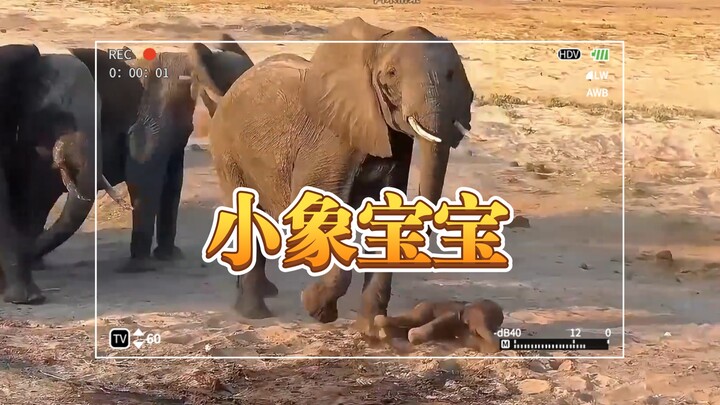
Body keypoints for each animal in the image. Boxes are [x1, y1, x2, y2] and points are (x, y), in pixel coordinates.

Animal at [198, 18, 475, 337]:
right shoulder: (331, 141)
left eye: (452, 75)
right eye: (391, 75)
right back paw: (254, 313)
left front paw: (373, 331)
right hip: (228, 150)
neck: (376, 43)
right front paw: (317, 309)